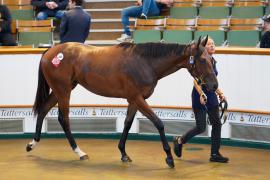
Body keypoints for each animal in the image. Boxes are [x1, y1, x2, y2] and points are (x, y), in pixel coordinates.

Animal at [26, 35, 218, 168]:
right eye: (202, 59)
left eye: (211, 59)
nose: (214, 85)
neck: (145, 62)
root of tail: (51, 51)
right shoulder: (138, 99)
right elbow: (159, 123)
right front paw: (169, 157)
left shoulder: (134, 100)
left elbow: (127, 123)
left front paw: (123, 153)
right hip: (63, 90)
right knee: (63, 118)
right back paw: (79, 152)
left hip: (62, 89)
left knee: (43, 109)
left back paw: (32, 144)